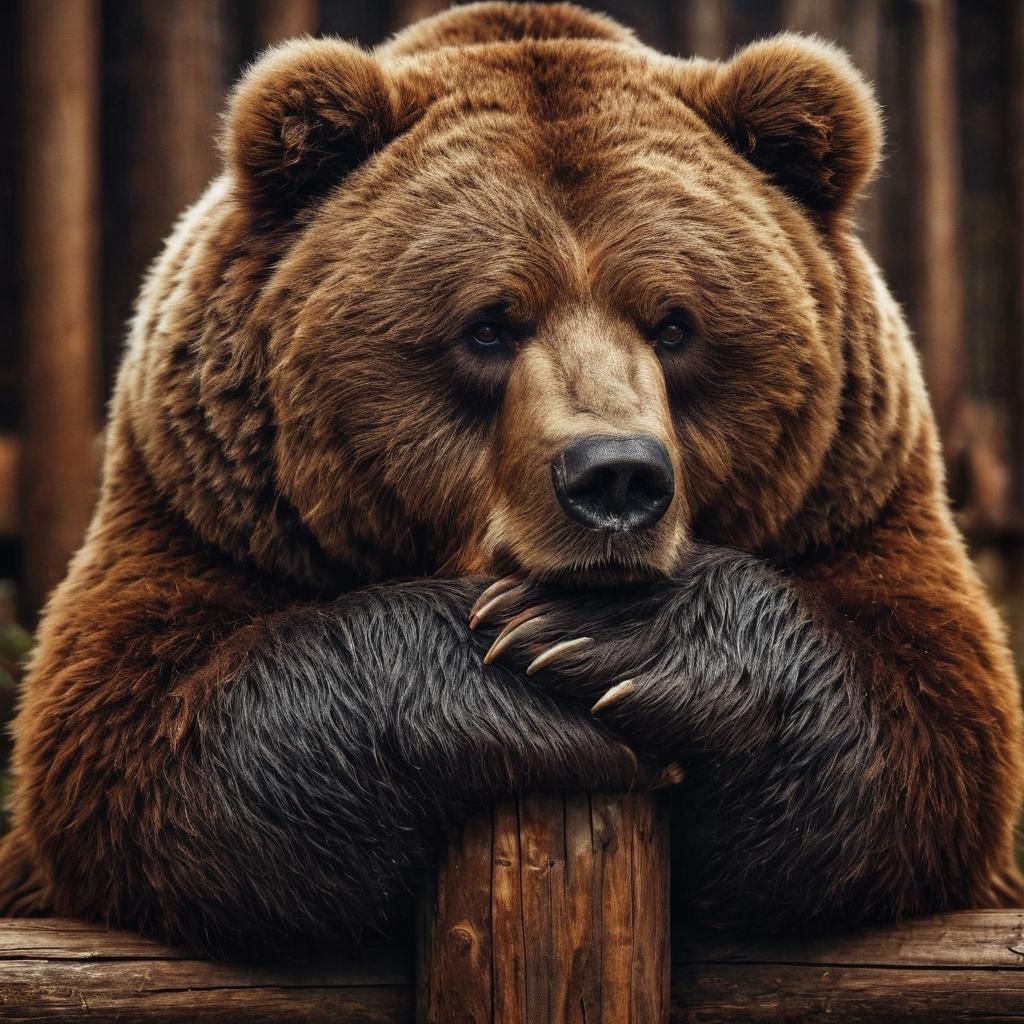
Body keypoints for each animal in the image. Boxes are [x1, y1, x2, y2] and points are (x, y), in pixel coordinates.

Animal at [1, 1, 1021, 961]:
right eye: (489, 325)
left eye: (676, 324)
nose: (615, 477)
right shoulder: (204, 502)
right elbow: (137, 746)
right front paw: (518, 668)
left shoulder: (855, 493)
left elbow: (929, 731)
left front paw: (605, 642)